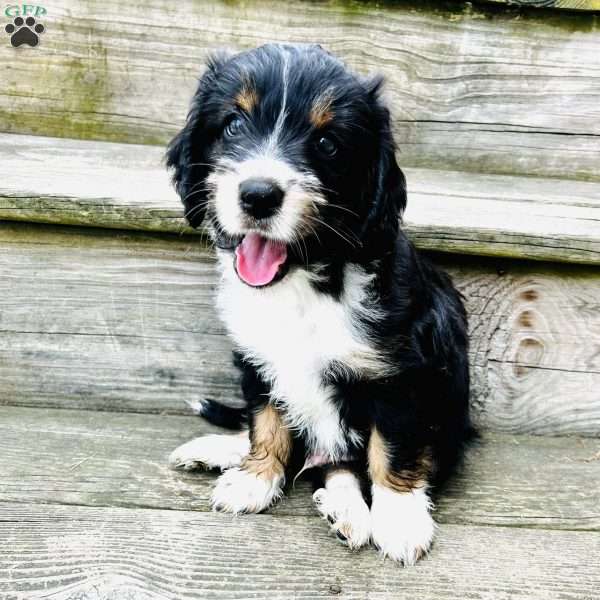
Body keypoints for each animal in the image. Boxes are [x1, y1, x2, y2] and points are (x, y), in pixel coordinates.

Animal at [166, 44, 472, 564]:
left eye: (328, 143)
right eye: (233, 125)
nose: (258, 194)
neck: (306, 280)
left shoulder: (400, 375)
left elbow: (393, 447)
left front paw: (399, 519)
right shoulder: (259, 360)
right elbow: (267, 421)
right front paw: (254, 478)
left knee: (345, 463)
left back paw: (348, 513)